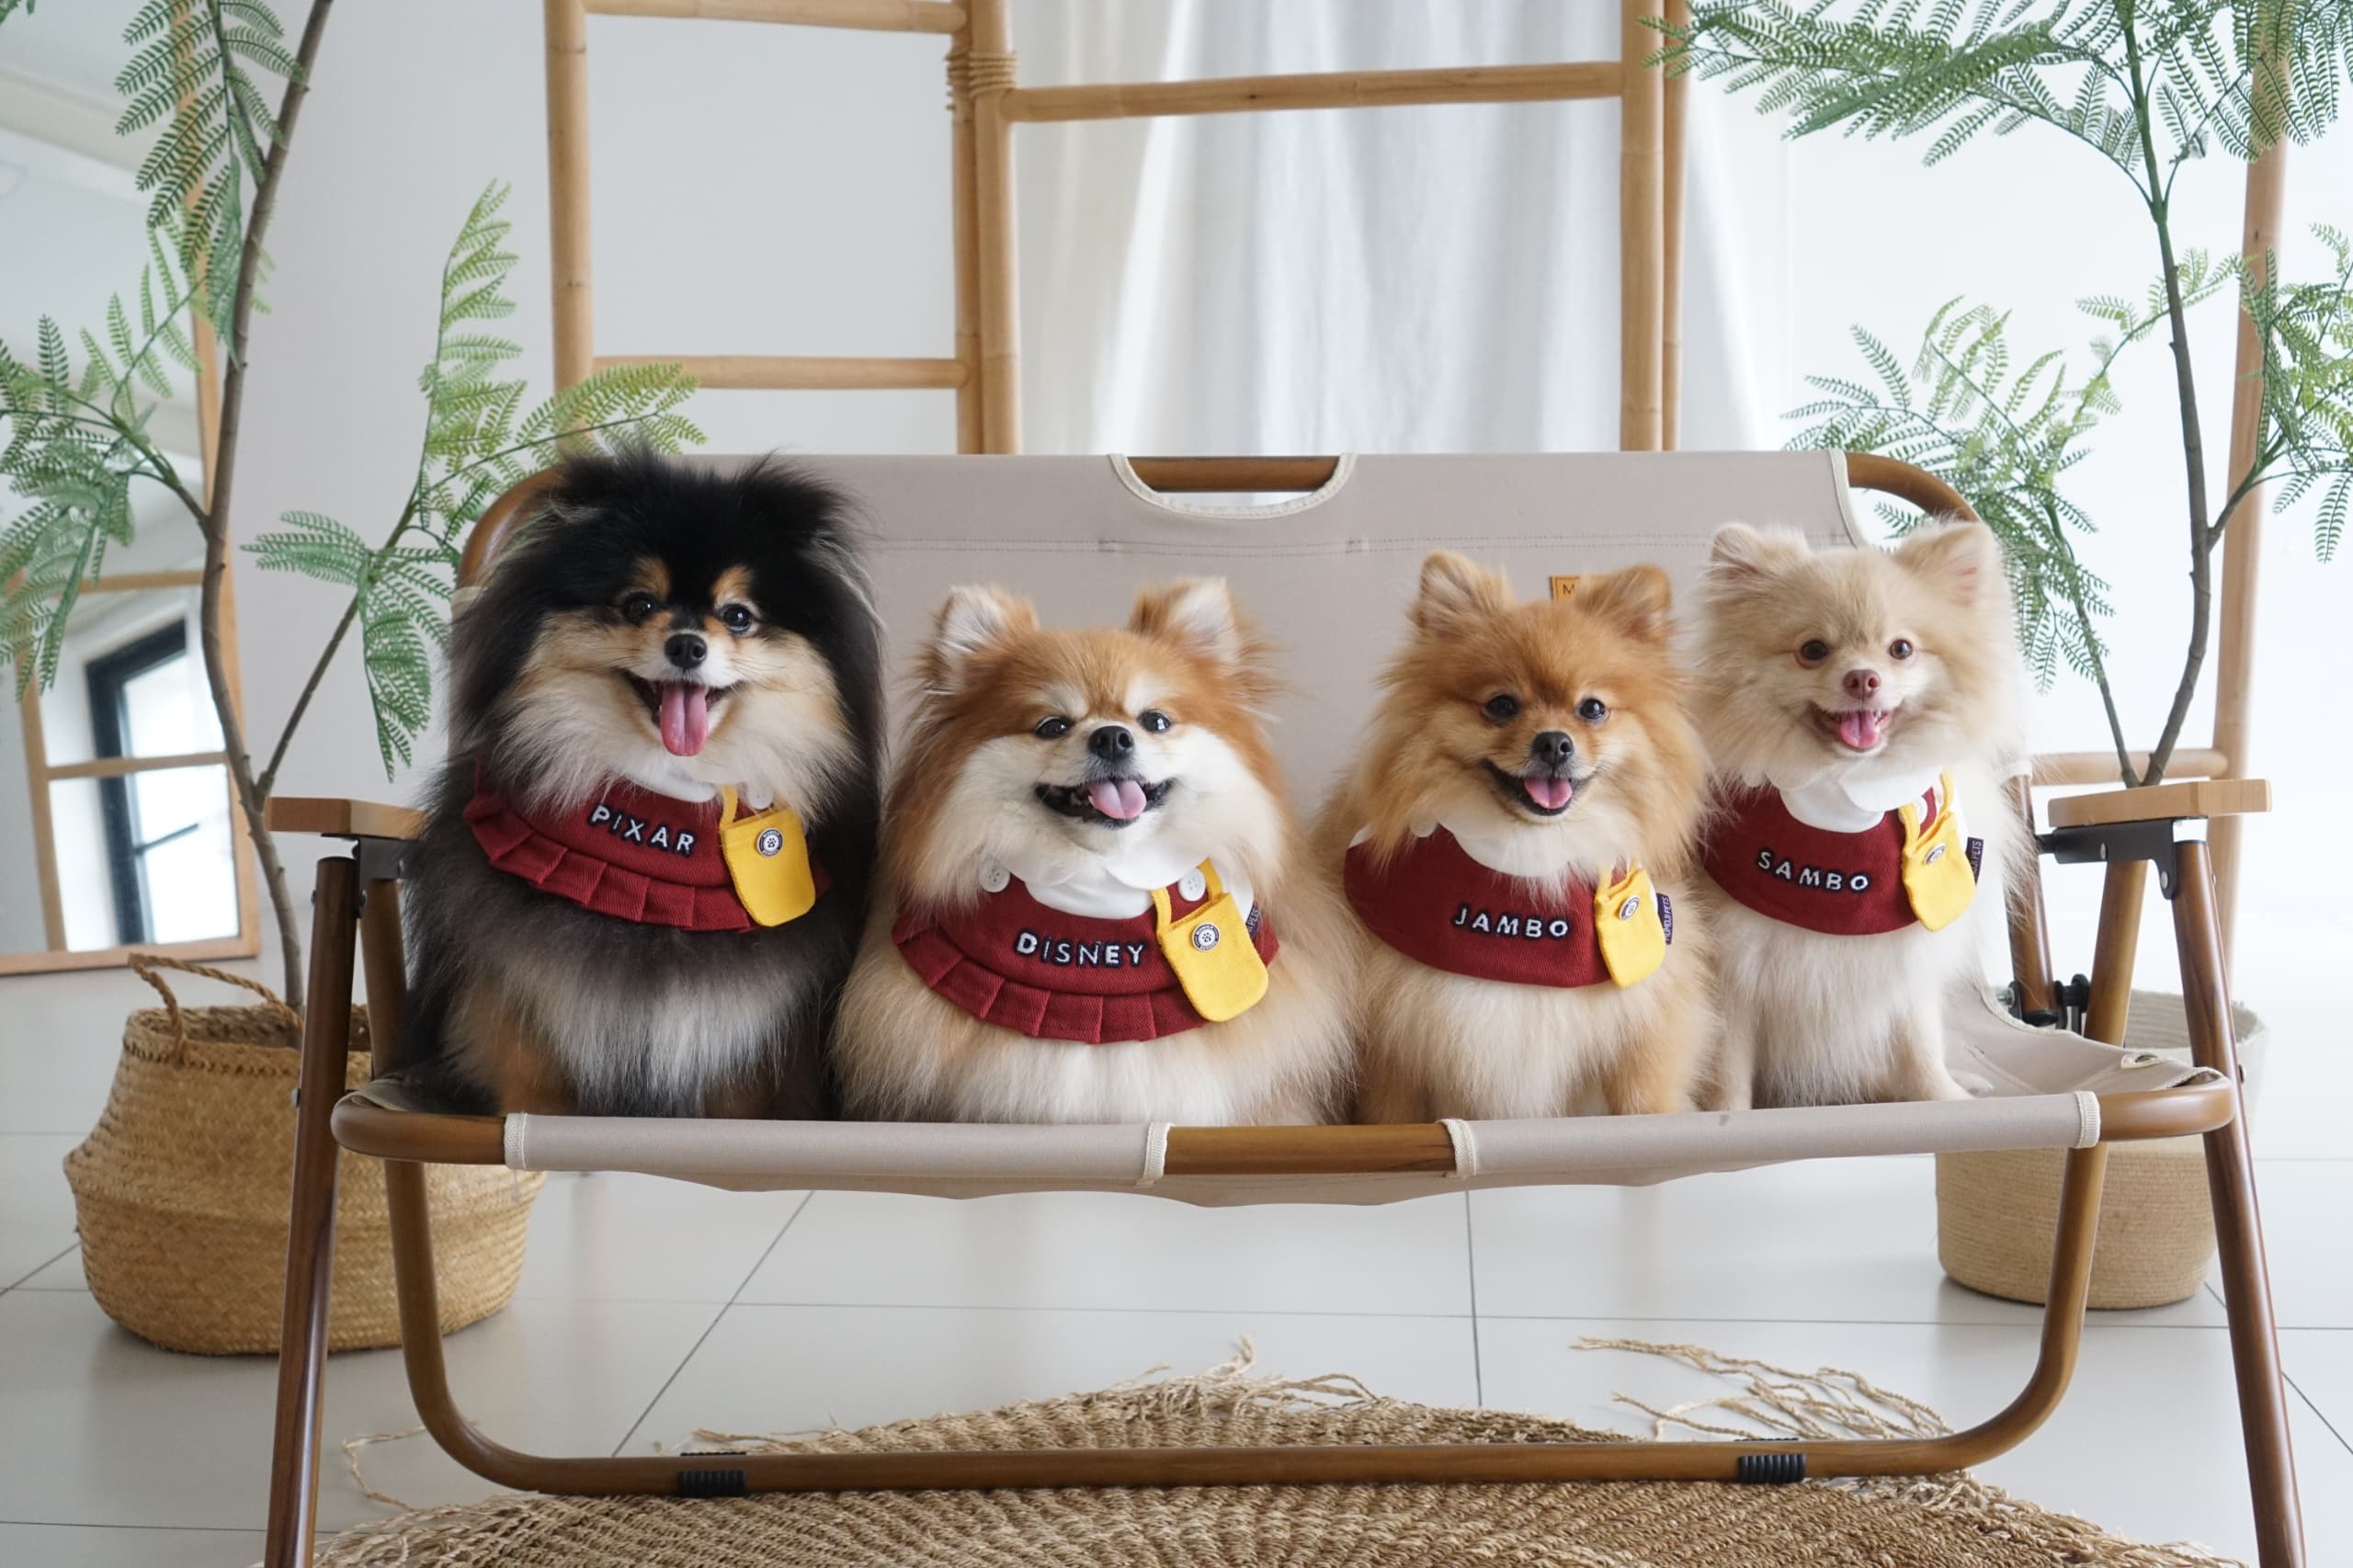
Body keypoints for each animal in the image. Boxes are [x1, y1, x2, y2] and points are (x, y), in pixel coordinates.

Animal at [398, 452, 883, 1118]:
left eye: (738, 616)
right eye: (638, 605)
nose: (687, 645)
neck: (665, 811)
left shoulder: (749, 1038)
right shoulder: (519, 995)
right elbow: (530, 1079)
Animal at [1316, 553, 1713, 1121]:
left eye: (1592, 709)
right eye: (1502, 705)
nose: (1553, 742)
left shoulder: (1643, 1023)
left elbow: (1645, 1103)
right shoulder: (1394, 1046)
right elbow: (1393, 1115)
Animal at [1691, 520, 2026, 1110]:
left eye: (1901, 649)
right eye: (1813, 650)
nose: (1863, 678)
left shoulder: (1904, 963)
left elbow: (1920, 1046)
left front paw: (1943, 1098)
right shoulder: (1733, 973)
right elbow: (1727, 1070)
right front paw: (1723, 1116)